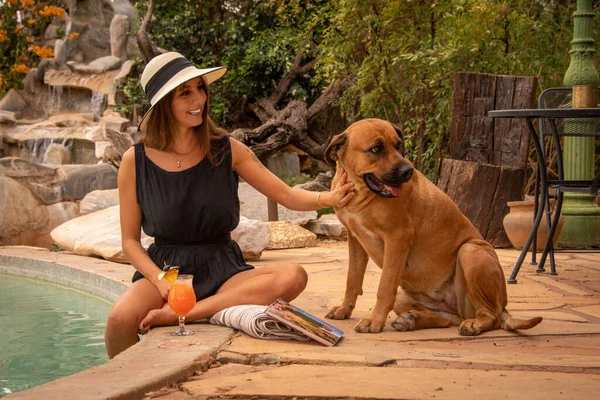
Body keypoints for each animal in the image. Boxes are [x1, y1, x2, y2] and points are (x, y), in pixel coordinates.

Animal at [326, 118, 540, 334]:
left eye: (398, 145)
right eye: (376, 148)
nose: (407, 171)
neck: (360, 193)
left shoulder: (397, 237)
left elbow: (384, 287)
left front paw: (374, 321)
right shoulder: (355, 239)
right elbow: (352, 280)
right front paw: (344, 309)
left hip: (470, 252)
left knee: (491, 316)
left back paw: (474, 324)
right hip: (405, 298)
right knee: (446, 320)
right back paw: (410, 320)